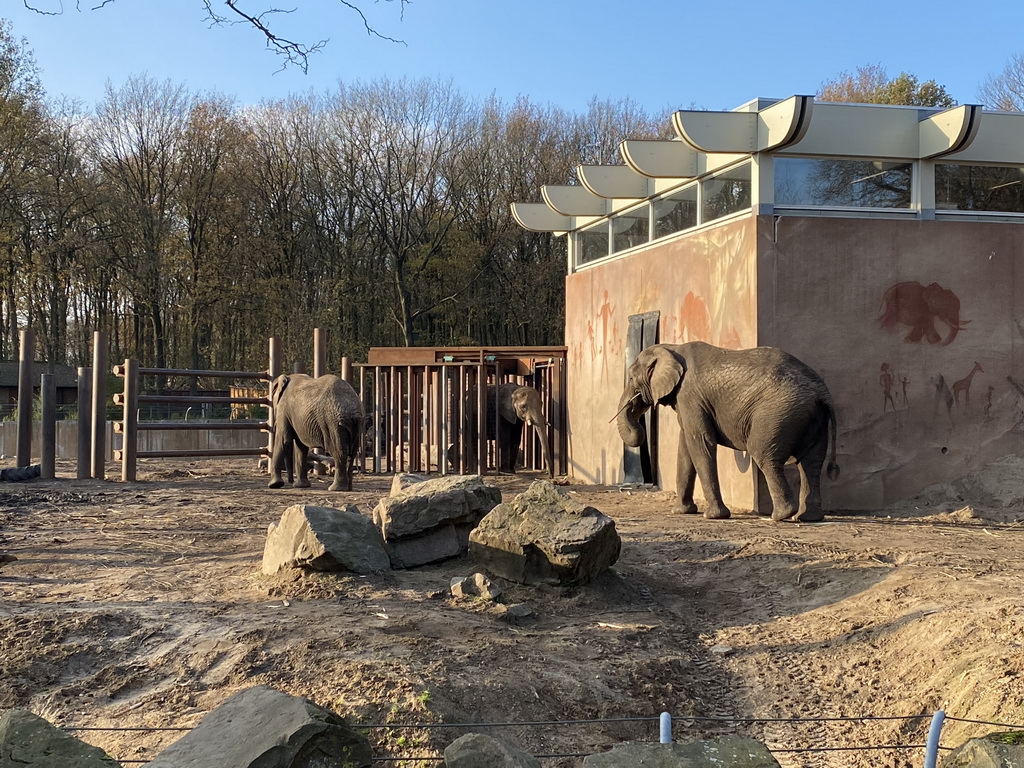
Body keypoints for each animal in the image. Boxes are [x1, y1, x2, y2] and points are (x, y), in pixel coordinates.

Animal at [614, 342, 839, 524]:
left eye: (631, 377)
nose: (638, 427)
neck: (672, 348)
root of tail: (822, 392)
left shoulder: (689, 395)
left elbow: (701, 442)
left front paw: (712, 516)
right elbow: (686, 446)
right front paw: (681, 511)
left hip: (779, 412)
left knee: (764, 455)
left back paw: (780, 516)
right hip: (810, 416)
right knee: (811, 462)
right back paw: (807, 517)